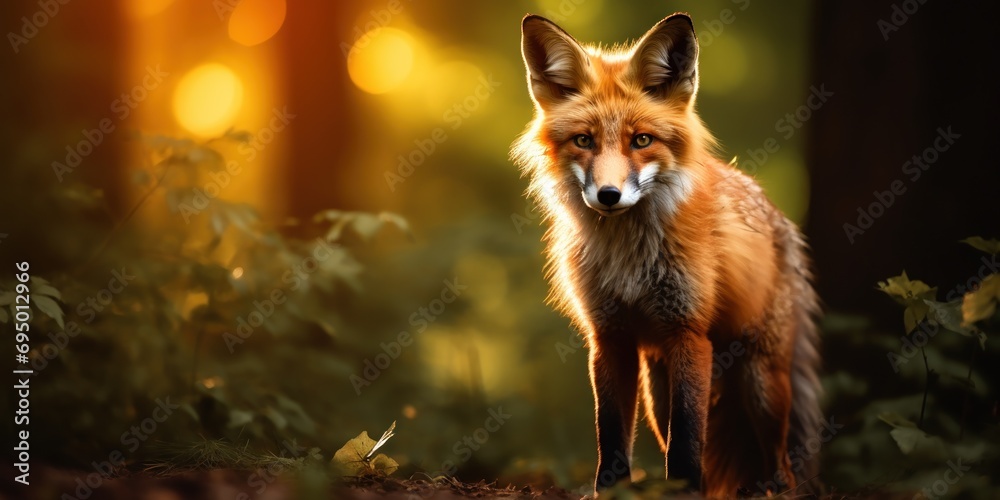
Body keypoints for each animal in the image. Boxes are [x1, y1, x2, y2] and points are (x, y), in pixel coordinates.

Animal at [510, 12, 822, 498]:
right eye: (583, 140)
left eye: (641, 140)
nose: (609, 195)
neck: (629, 258)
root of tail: (780, 221)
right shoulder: (610, 336)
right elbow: (611, 434)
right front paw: (611, 490)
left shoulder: (688, 333)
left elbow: (688, 439)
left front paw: (685, 489)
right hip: (658, 391)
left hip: (760, 384)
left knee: (780, 463)